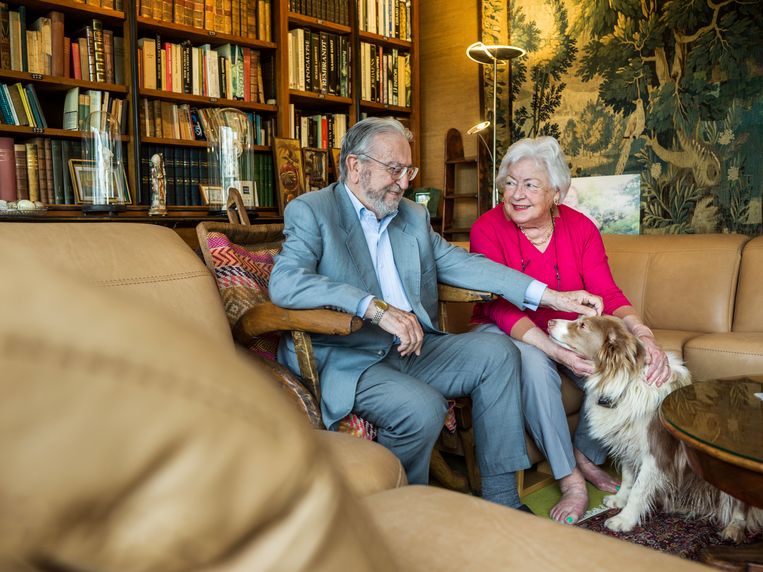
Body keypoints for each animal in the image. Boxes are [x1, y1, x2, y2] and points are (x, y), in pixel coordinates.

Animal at [548, 316, 760, 540]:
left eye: (582, 325)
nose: (550, 321)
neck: (623, 384)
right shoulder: (627, 443)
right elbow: (628, 477)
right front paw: (619, 499)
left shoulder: (656, 454)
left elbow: (639, 489)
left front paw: (624, 519)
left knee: (741, 504)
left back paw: (734, 528)